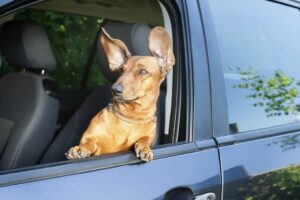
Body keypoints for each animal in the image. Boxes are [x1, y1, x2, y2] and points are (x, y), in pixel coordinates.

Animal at [64, 25, 175, 162]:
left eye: (143, 71)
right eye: (121, 70)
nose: (114, 89)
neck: (130, 117)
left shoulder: (148, 135)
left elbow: (145, 139)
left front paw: (144, 148)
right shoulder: (90, 137)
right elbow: (88, 142)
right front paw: (79, 149)